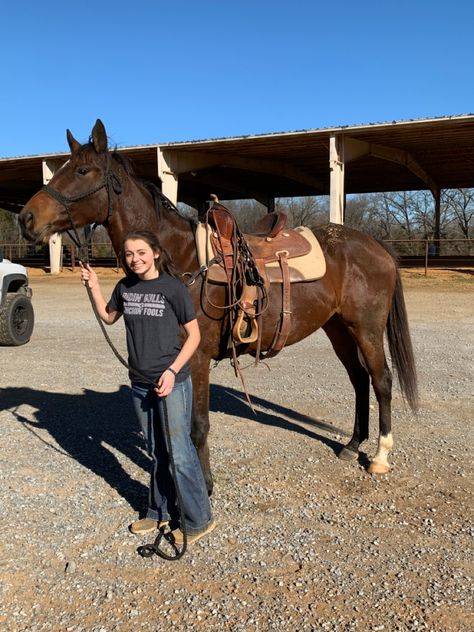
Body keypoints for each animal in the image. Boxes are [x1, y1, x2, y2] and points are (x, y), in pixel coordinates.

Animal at [19, 121, 418, 492]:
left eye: (82, 171)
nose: (26, 218)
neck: (180, 260)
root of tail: (375, 245)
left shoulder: (196, 358)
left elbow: (198, 425)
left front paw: (205, 486)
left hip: (366, 327)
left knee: (381, 380)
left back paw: (379, 456)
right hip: (337, 328)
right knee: (359, 379)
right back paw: (352, 444)